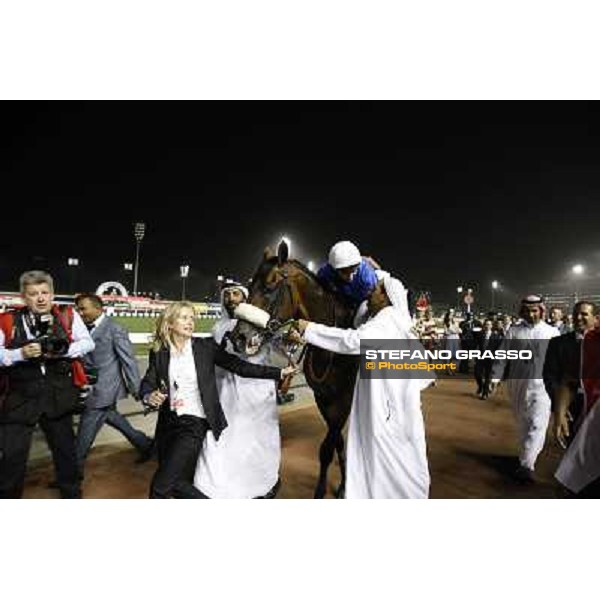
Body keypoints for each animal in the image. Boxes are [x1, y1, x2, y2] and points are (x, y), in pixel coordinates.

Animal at [232, 241, 358, 500]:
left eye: (270, 285)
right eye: (250, 284)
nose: (239, 337)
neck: (333, 345)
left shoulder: (344, 398)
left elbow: (328, 445)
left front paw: (337, 487)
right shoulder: (324, 398)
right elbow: (336, 442)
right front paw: (334, 485)